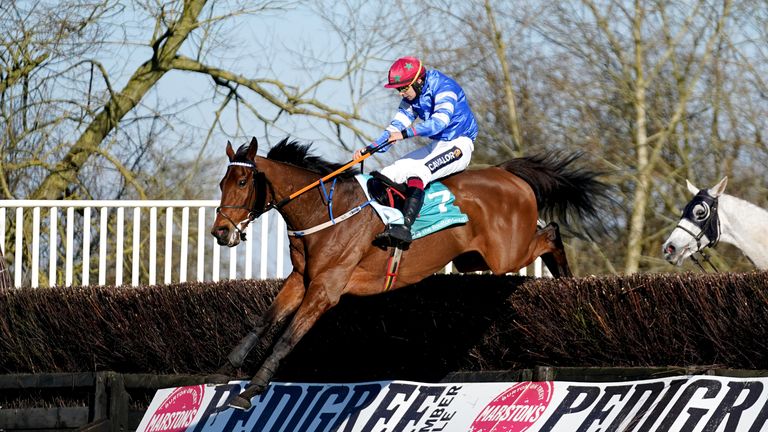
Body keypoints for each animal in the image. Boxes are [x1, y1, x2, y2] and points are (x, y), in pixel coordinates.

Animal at [207, 137, 608, 410]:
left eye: (242, 183)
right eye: (221, 184)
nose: (221, 232)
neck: (324, 212)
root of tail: (507, 173)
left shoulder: (326, 287)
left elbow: (287, 337)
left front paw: (252, 389)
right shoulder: (300, 280)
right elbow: (263, 320)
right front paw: (224, 370)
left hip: (507, 253)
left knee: (551, 232)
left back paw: (567, 279)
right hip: (473, 259)